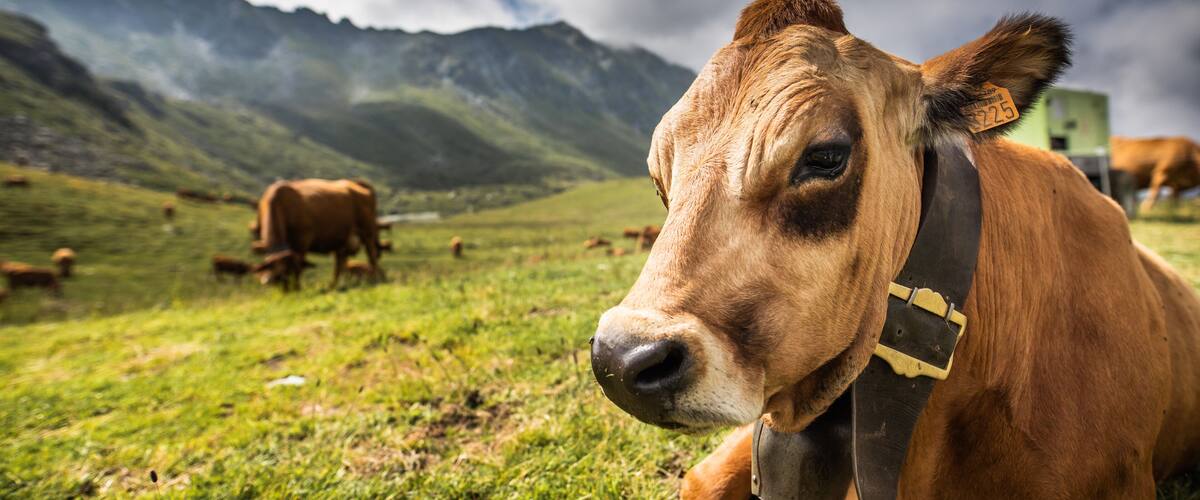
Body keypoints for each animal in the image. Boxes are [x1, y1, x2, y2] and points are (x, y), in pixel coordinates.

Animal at [250, 179, 382, 291]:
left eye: (288, 271)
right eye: (278, 277)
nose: (286, 291)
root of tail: (354, 183)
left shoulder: (303, 240)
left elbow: (299, 267)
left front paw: (297, 289)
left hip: (368, 231)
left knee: (372, 256)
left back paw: (374, 280)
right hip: (341, 239)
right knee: (340, 263)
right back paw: (334, 287)